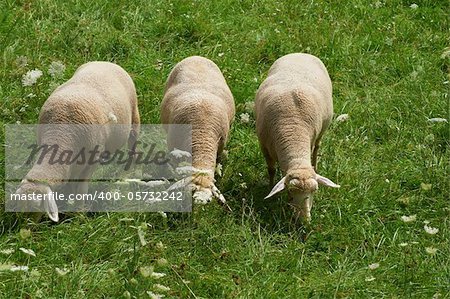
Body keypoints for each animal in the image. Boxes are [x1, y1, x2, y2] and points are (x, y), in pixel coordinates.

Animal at [15, 61, 139, 223]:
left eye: (36, 206)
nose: (27, 226)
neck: (60, 134)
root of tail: (105, 62)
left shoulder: (92, 161)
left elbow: (81, 189)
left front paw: (79, 214)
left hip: (134, 116)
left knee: (133, 145)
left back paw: (128, 172)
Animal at [255, 53, 340, 223]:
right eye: (291, 192)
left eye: (315, 191)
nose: (304, 220)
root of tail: (301, 53)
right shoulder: (264, 146)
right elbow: (271, 170)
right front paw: (270, 188)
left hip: (322, 130)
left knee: (317, 148)